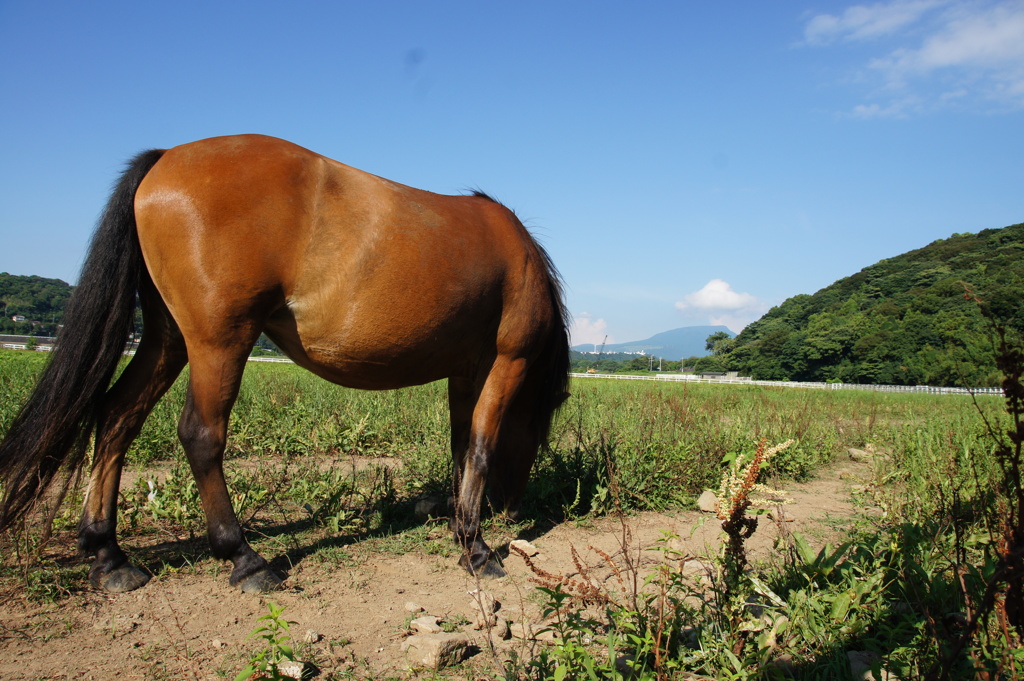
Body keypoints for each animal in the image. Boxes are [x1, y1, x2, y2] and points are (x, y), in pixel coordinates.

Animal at [0, 135, 569, 593]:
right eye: (539, 428)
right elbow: (480, 447)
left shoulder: (464, 370)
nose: (511, 507)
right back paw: (245, 559)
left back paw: (108, 555)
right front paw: (475, 547)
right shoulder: (506, 362)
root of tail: (165, 158)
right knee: (200, 434)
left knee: (118, 415)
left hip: (169, 340)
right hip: (219, 341)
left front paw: (458, 522)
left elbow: (459, 444)